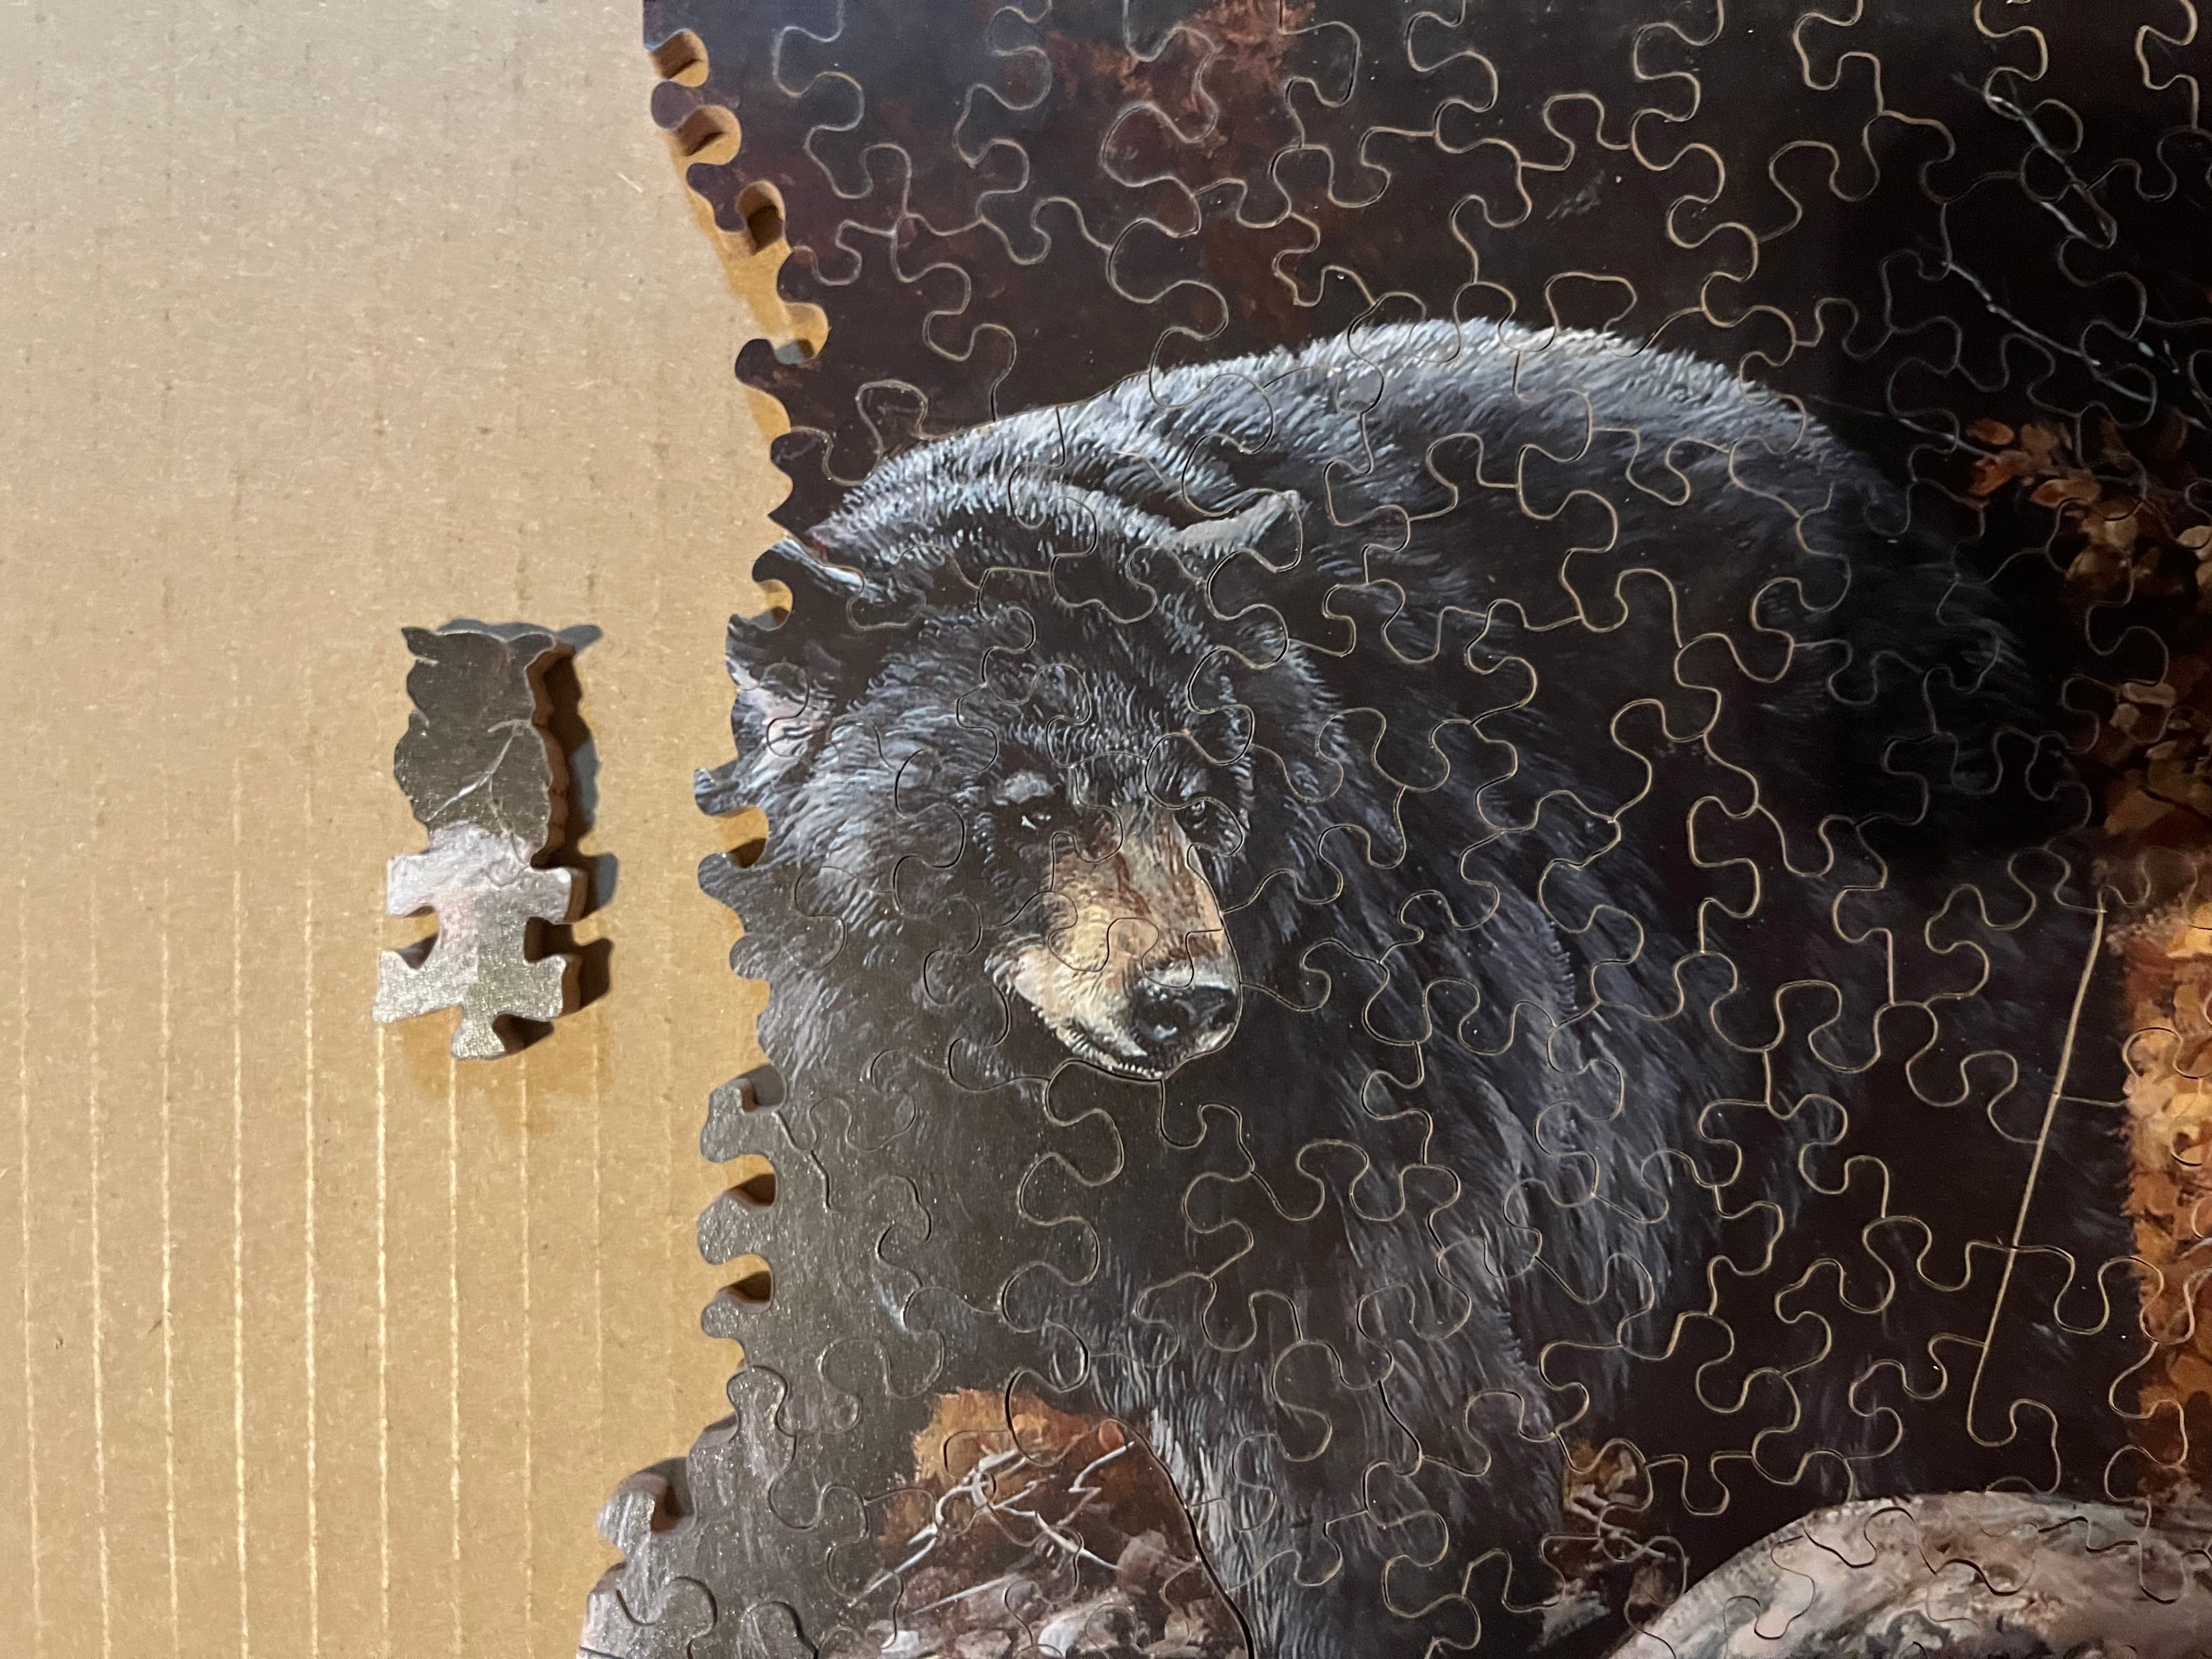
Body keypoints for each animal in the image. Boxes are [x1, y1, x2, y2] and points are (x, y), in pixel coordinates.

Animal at [695, 318, 2141, 1659]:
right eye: (1029, 803)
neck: (1005, 1079)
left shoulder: (1338, 1072)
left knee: (1949, 1265)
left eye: (1198, 790)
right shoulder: (818, 1111)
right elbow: (747, 1422)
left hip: (1880, 992)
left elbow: (1362, 1428)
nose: (1184, 999)